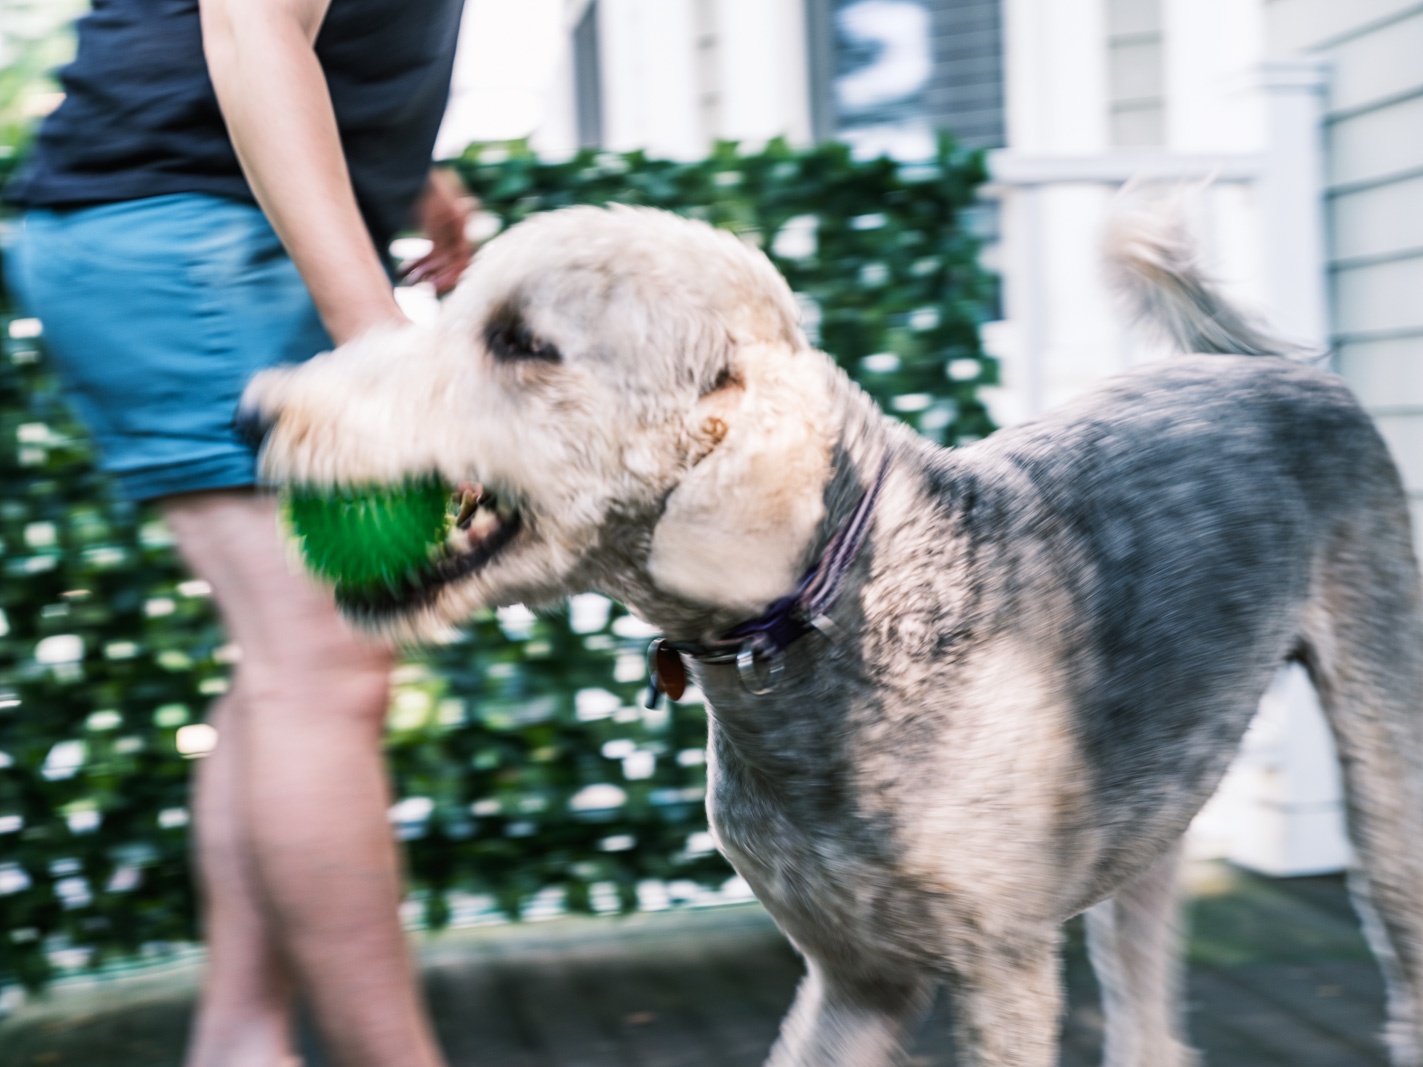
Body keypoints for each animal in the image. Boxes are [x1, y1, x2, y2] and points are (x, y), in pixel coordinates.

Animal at [239, 204, 1423, 1064]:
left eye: (523, 343)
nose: (255, 414)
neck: (831, 621)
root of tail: (1279, 366)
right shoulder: (855, 974)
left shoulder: (1000, 968)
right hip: (1149, 822)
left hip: (1384, 769)